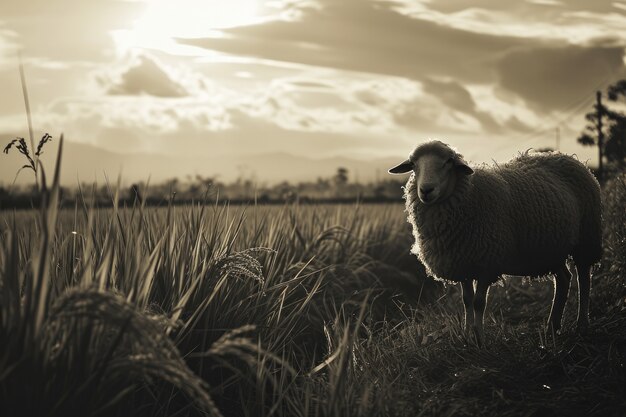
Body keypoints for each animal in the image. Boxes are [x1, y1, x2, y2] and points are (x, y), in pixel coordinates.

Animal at [386, 140, 600, 342]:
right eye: (413, 164)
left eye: (448, 162)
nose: (426, 190)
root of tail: (565, 156)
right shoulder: (462, 264)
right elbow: (466, 300)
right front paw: (467, 336)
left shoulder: (487, 264)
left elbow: (479, 302)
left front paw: (480, 339)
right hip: (551, 248)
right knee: (564, 278)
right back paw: (552, 328)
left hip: (586, 239)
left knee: (583, 279)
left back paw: (582, 325)